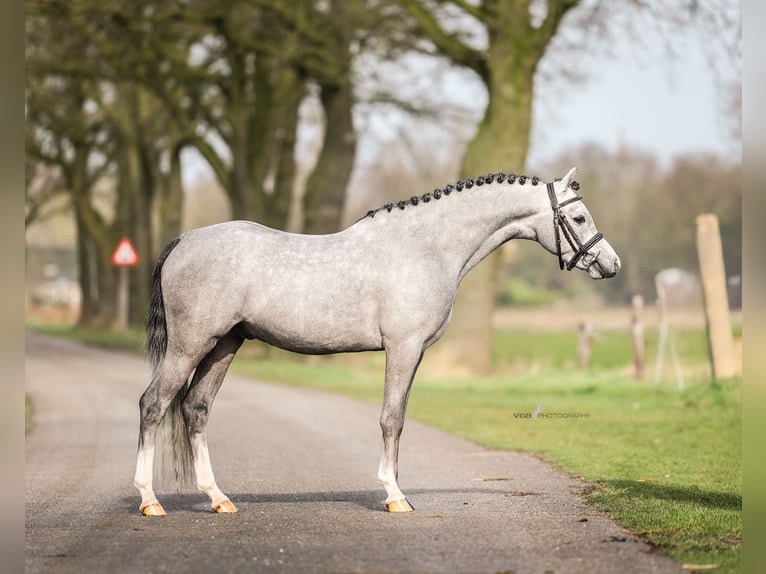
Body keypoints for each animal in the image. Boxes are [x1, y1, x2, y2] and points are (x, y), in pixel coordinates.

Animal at [134, 167, 620, 516]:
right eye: (578, 217)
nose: (611, 264)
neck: (426, 246)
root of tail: (185, 240)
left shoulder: (413, 353)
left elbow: (397, 418)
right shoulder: (403, 348)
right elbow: (391, 419)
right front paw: (395, 495)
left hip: (223, 345)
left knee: (196, 409)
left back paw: (218, 498)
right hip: (190, 346)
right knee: (153, 404)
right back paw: (149, 500)